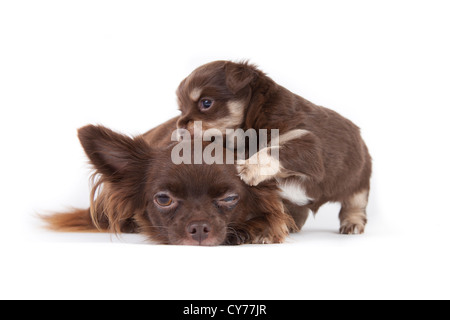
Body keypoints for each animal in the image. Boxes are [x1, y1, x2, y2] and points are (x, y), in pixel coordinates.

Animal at [176, 60, 372, 235]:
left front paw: (250, 167)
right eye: (181, 110)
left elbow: (275, 149)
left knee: (354, 204)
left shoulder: (307, 143)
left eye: (206, 103)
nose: (179, 126)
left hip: (359, 181)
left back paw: (352, 223)